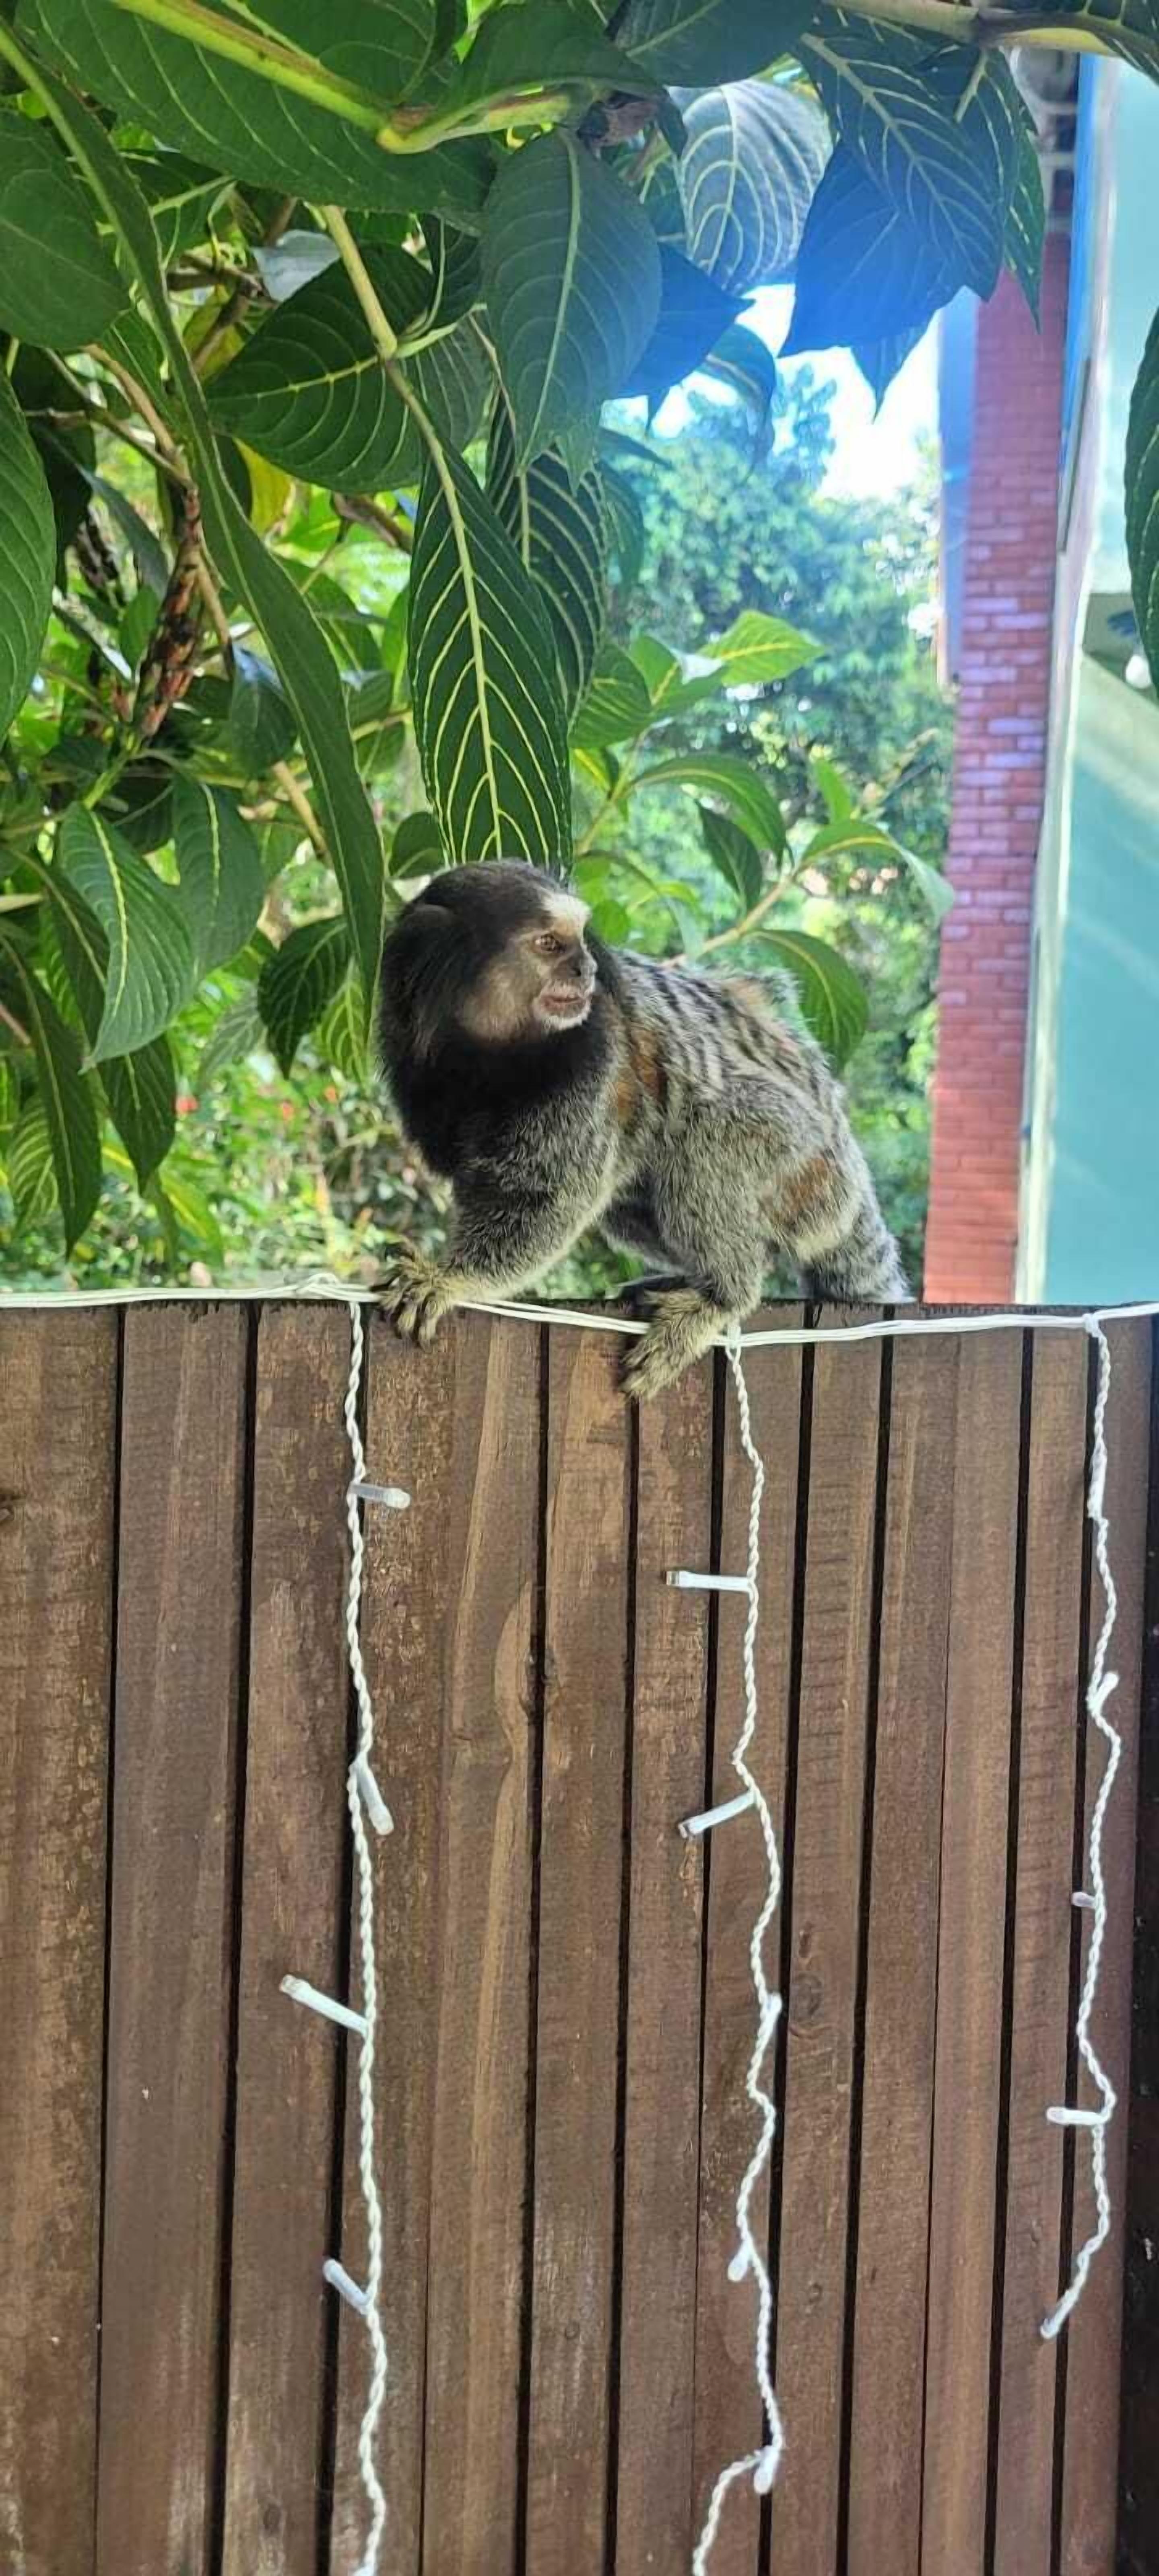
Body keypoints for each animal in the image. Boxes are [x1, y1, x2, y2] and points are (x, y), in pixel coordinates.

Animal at [375, 861, 909, 1400]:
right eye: (549, 944)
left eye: (579, 942)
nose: (586, 970)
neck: (491, 1052)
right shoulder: (412, 1057)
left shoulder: (593, 1054)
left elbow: (545, 1196)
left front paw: (451, 1279)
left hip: (797, 1146)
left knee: (704, 1141)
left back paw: (722, 1295)